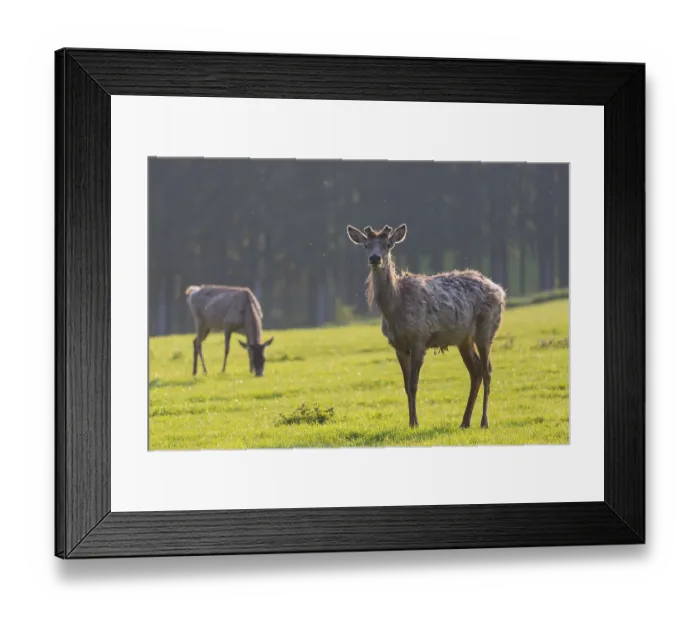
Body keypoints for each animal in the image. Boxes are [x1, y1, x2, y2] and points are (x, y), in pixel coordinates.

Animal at [346, 224, 506, 429]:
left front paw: (415, 423)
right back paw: (464, 422)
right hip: (464, 339)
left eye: (388, 244)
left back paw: (484, 421)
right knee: (476, 371)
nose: (375, 258)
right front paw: (410, 422)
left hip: (487, 328)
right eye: (366, 245)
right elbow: (406, 386)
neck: (394, 309)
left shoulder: (419, 338)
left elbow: (414, 384)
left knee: (487, 371)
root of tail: (500, 291)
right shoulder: (398, 346)